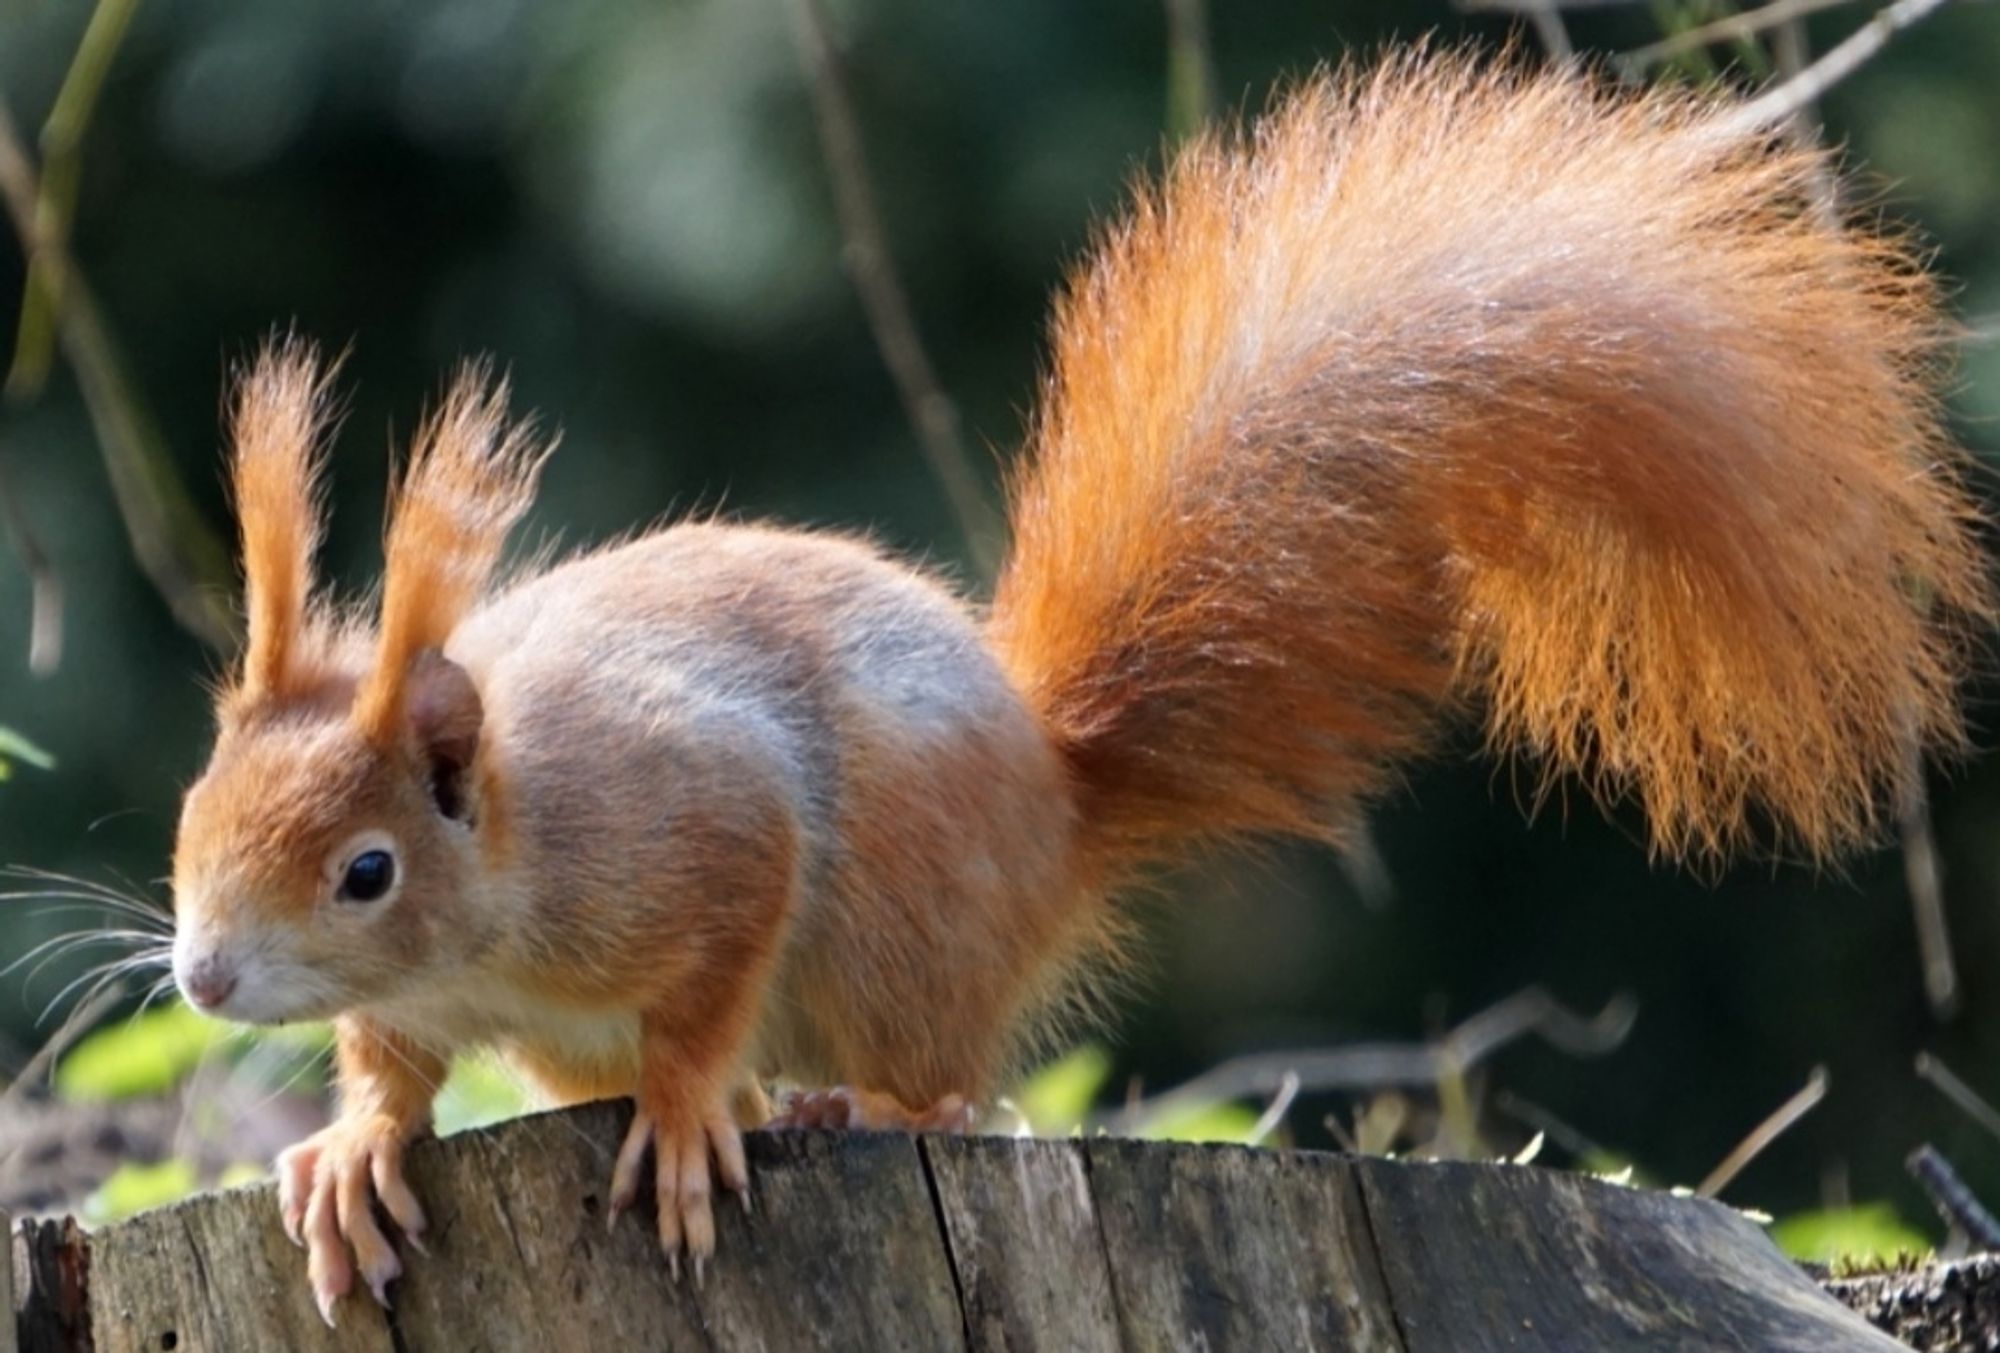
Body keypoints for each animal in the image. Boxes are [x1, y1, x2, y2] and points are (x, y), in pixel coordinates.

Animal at [172, 52, 1984, 1320]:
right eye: (194, 817)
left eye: (366, 870)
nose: (198, 973)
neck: (508, 860)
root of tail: (1055, 787)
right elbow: (392, 1065)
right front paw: (352, 1150)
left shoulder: (693, 820)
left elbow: (714, 959)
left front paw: (685, 1113)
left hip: (902, 925)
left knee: (947, 1079)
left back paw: (852, 1101)